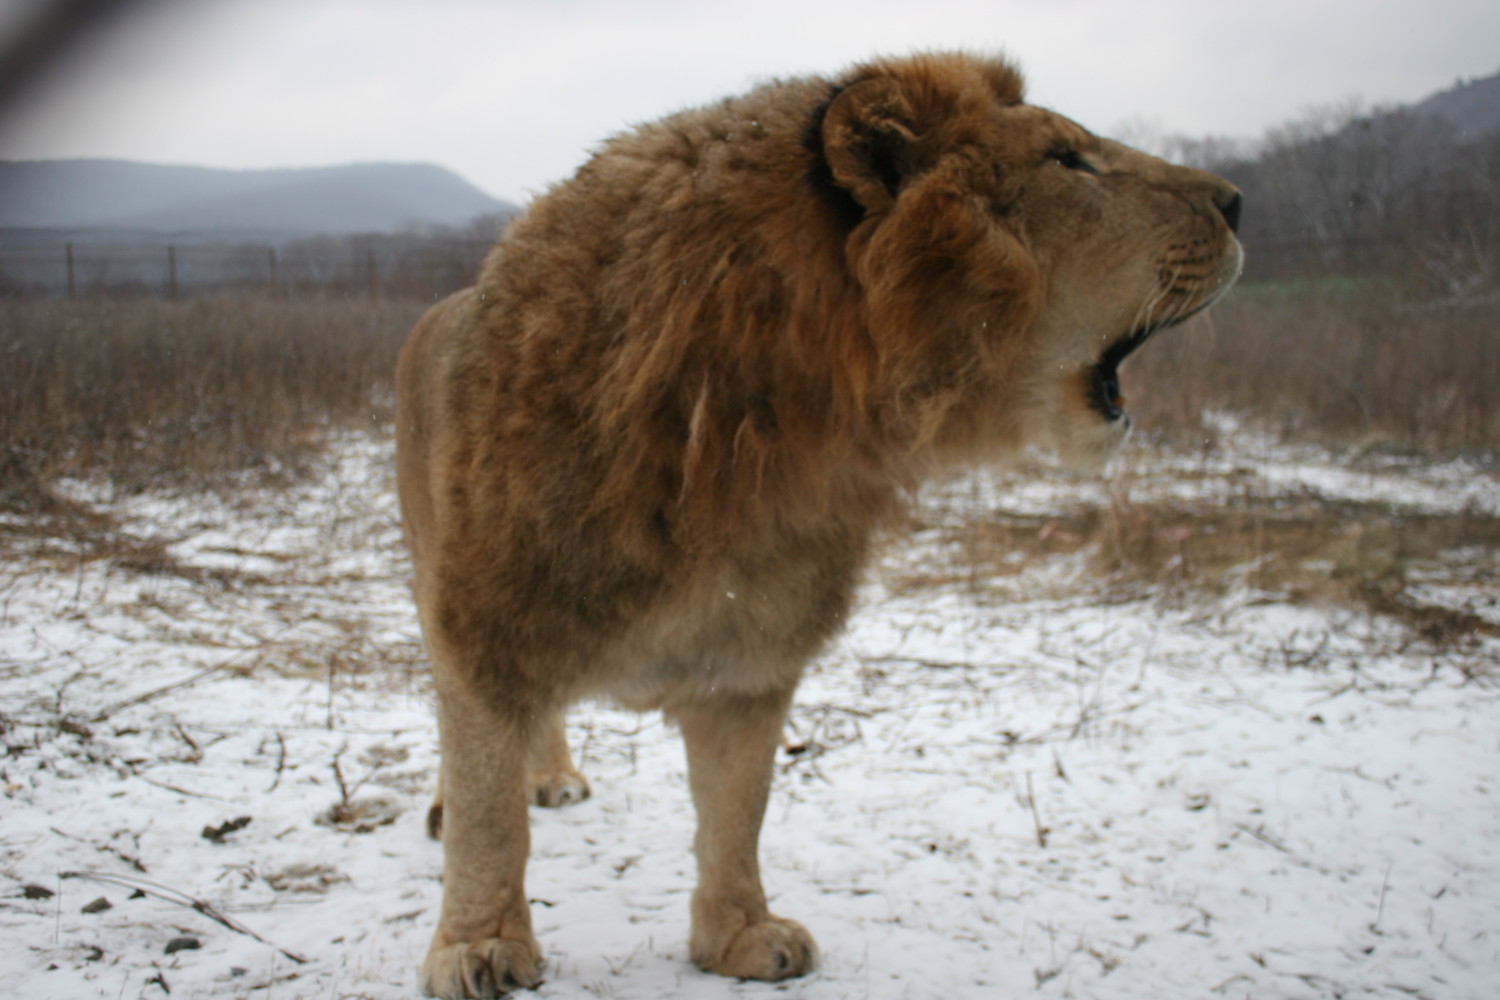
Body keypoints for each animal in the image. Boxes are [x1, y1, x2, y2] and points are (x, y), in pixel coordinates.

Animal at [396, 50, 1242, 995]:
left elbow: (738, 812)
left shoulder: (749, 657)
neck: (773, 443)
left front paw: (739, 936)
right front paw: (479, 944)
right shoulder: (487, 625)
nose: (1240, 200)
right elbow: (487, 808)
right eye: (1068, 159)